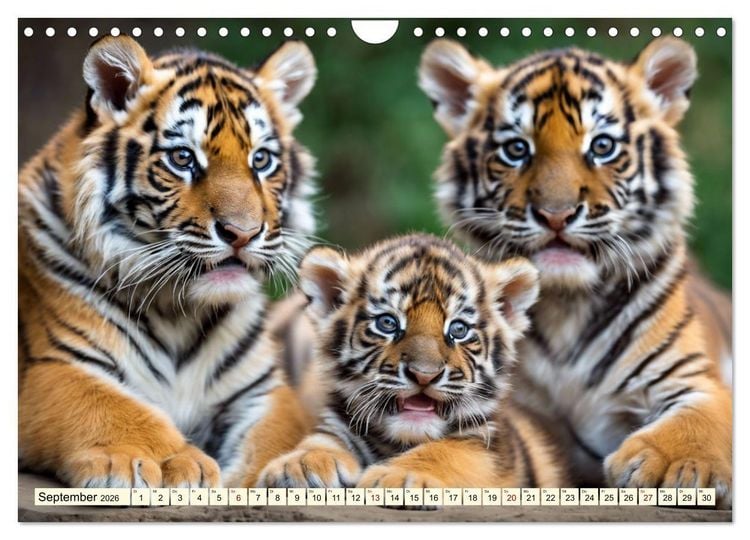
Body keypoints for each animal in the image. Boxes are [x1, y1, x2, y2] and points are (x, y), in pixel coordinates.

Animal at [18, 35, 319, 488]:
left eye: (261, 160)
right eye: (182, 158)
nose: (242, 233)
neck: (178, 312)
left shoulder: (260, 389)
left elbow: (278, 435)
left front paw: (282, 470)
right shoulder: (55, 366)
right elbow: (115, 407)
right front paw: (167, 462)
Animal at [258, 234, 568, 489]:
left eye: (458, 329)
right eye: (387, 323)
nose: (424, 375)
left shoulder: (490, 448)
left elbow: (448, 451)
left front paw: (398, 476)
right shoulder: (339, 422)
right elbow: (323, 439)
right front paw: (298, 465)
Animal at [418, 37, 732, 505]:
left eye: (601, 147)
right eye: (517, 150)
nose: (556, 214)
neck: (566, 307)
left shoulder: (693, 377)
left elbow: (697, 420)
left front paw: (673, 468)